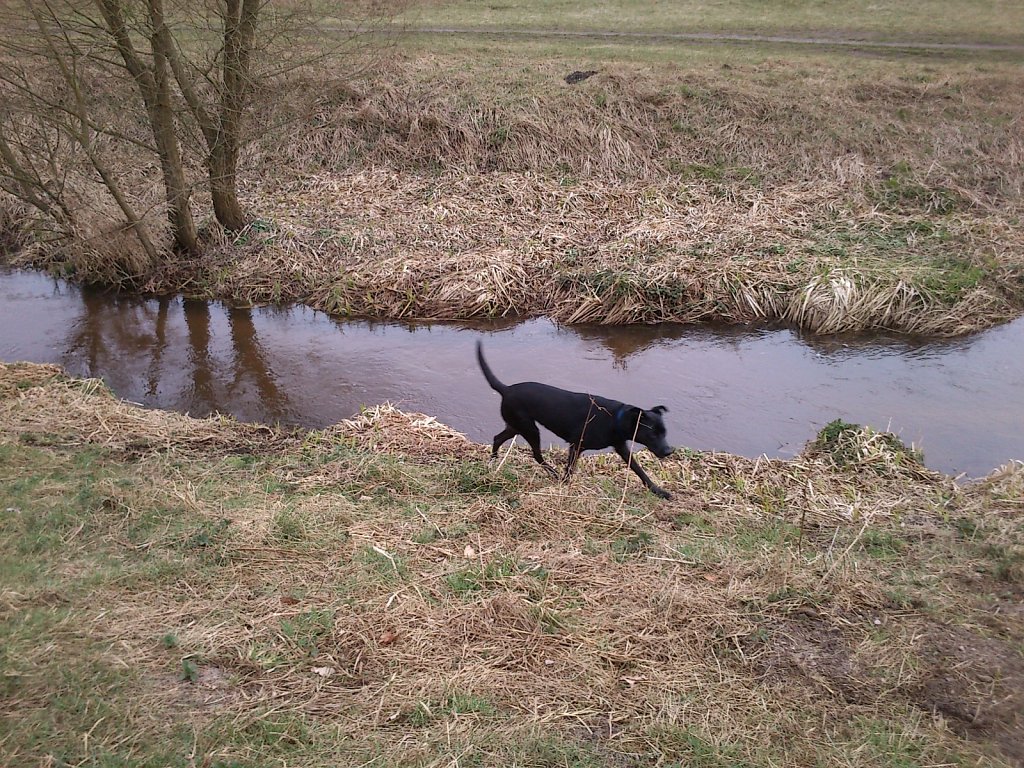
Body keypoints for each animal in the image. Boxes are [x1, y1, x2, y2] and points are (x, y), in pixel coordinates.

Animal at [477, 342, 671, 499]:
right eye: (652, 434)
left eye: (664, 432)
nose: (669, 451)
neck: (616, 419)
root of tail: (506, 389)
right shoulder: (576, 445)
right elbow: (570, 468)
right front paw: (565, 485)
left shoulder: (621, 447)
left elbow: (639, 470)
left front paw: (658, 491)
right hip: (529, 429)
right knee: (536, 455)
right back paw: (554, 474)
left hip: (517, 426)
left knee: (498, 438)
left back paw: (492, 462)